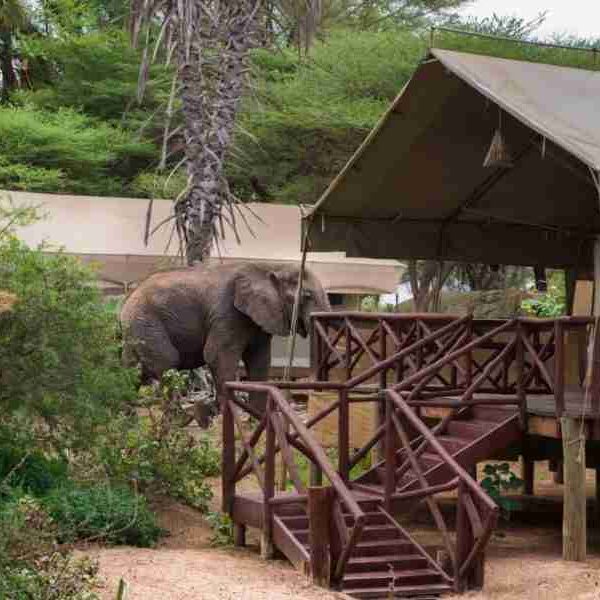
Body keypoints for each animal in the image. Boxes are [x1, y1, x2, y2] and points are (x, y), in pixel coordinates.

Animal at [119, 262, 330, 422]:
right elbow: (217, 355)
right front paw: (233, 418)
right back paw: (180, 420)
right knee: (167, 361)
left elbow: (260, 361)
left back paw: (125, 418)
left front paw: (256, 421)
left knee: (134, 370)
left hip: (137, 329)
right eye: (307, 296)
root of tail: (125, 301)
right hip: (146, 321)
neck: (268, 267)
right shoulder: (227, 312)